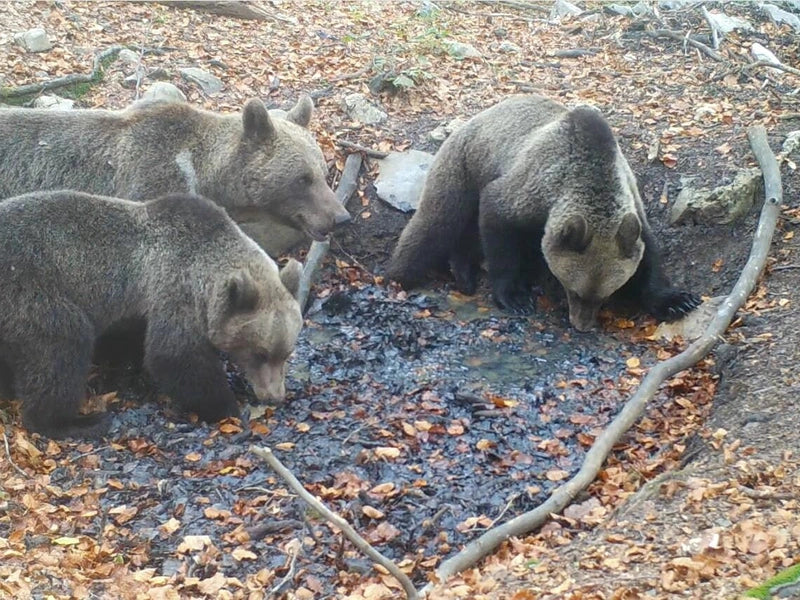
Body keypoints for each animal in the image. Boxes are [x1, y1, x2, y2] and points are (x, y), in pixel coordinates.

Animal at [0, 190, 304, 438]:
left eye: (286, 353)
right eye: (260, 353)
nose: (275, 396)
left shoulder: (137, 309)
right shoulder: (175, 288)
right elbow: (174, 355)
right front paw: (228, 404)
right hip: (30, 290)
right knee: (62, 346)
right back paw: (75, 422)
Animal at [387, 94, 700, 332]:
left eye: (606, 294)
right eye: (574, 290)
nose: (581, 324)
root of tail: (473, 118)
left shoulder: (631, 204)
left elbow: (649, 255)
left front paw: (678, 301)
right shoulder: (529, 190)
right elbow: (498, 225)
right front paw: (514, 297)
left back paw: (464, 273)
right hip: (462, 165)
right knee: (436, 222)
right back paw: (400, 274)